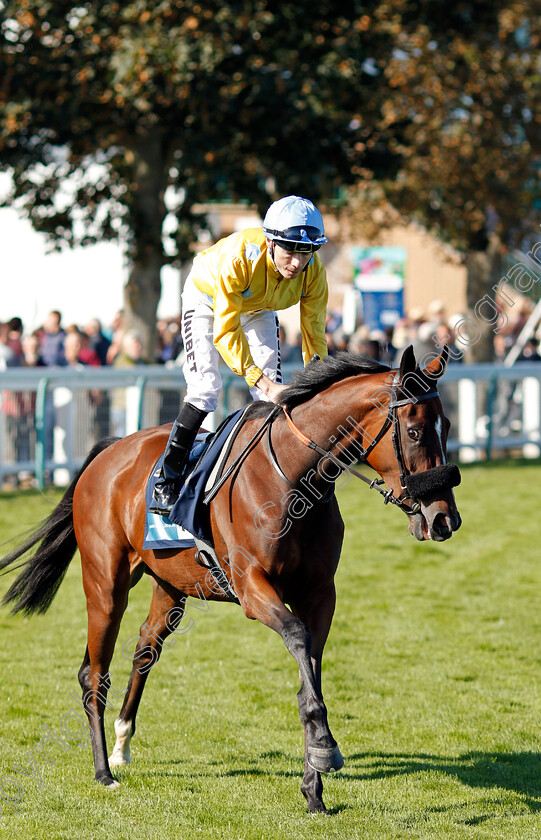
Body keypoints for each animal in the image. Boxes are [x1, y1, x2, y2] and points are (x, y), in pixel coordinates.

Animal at [0, 344, 460, 812]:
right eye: (415, 431)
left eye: (447, 427)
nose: (445, 519)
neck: (293, 478)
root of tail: (109, 452)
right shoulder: (253, 588)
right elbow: (297, 639)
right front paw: (325, 747)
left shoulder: (319, 594)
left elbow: (309, 674)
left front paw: (314, 784)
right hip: (106, 583)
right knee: (93, 673)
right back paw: (103, 772)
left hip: (170, 586)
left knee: (145, 648)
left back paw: (121, 744)